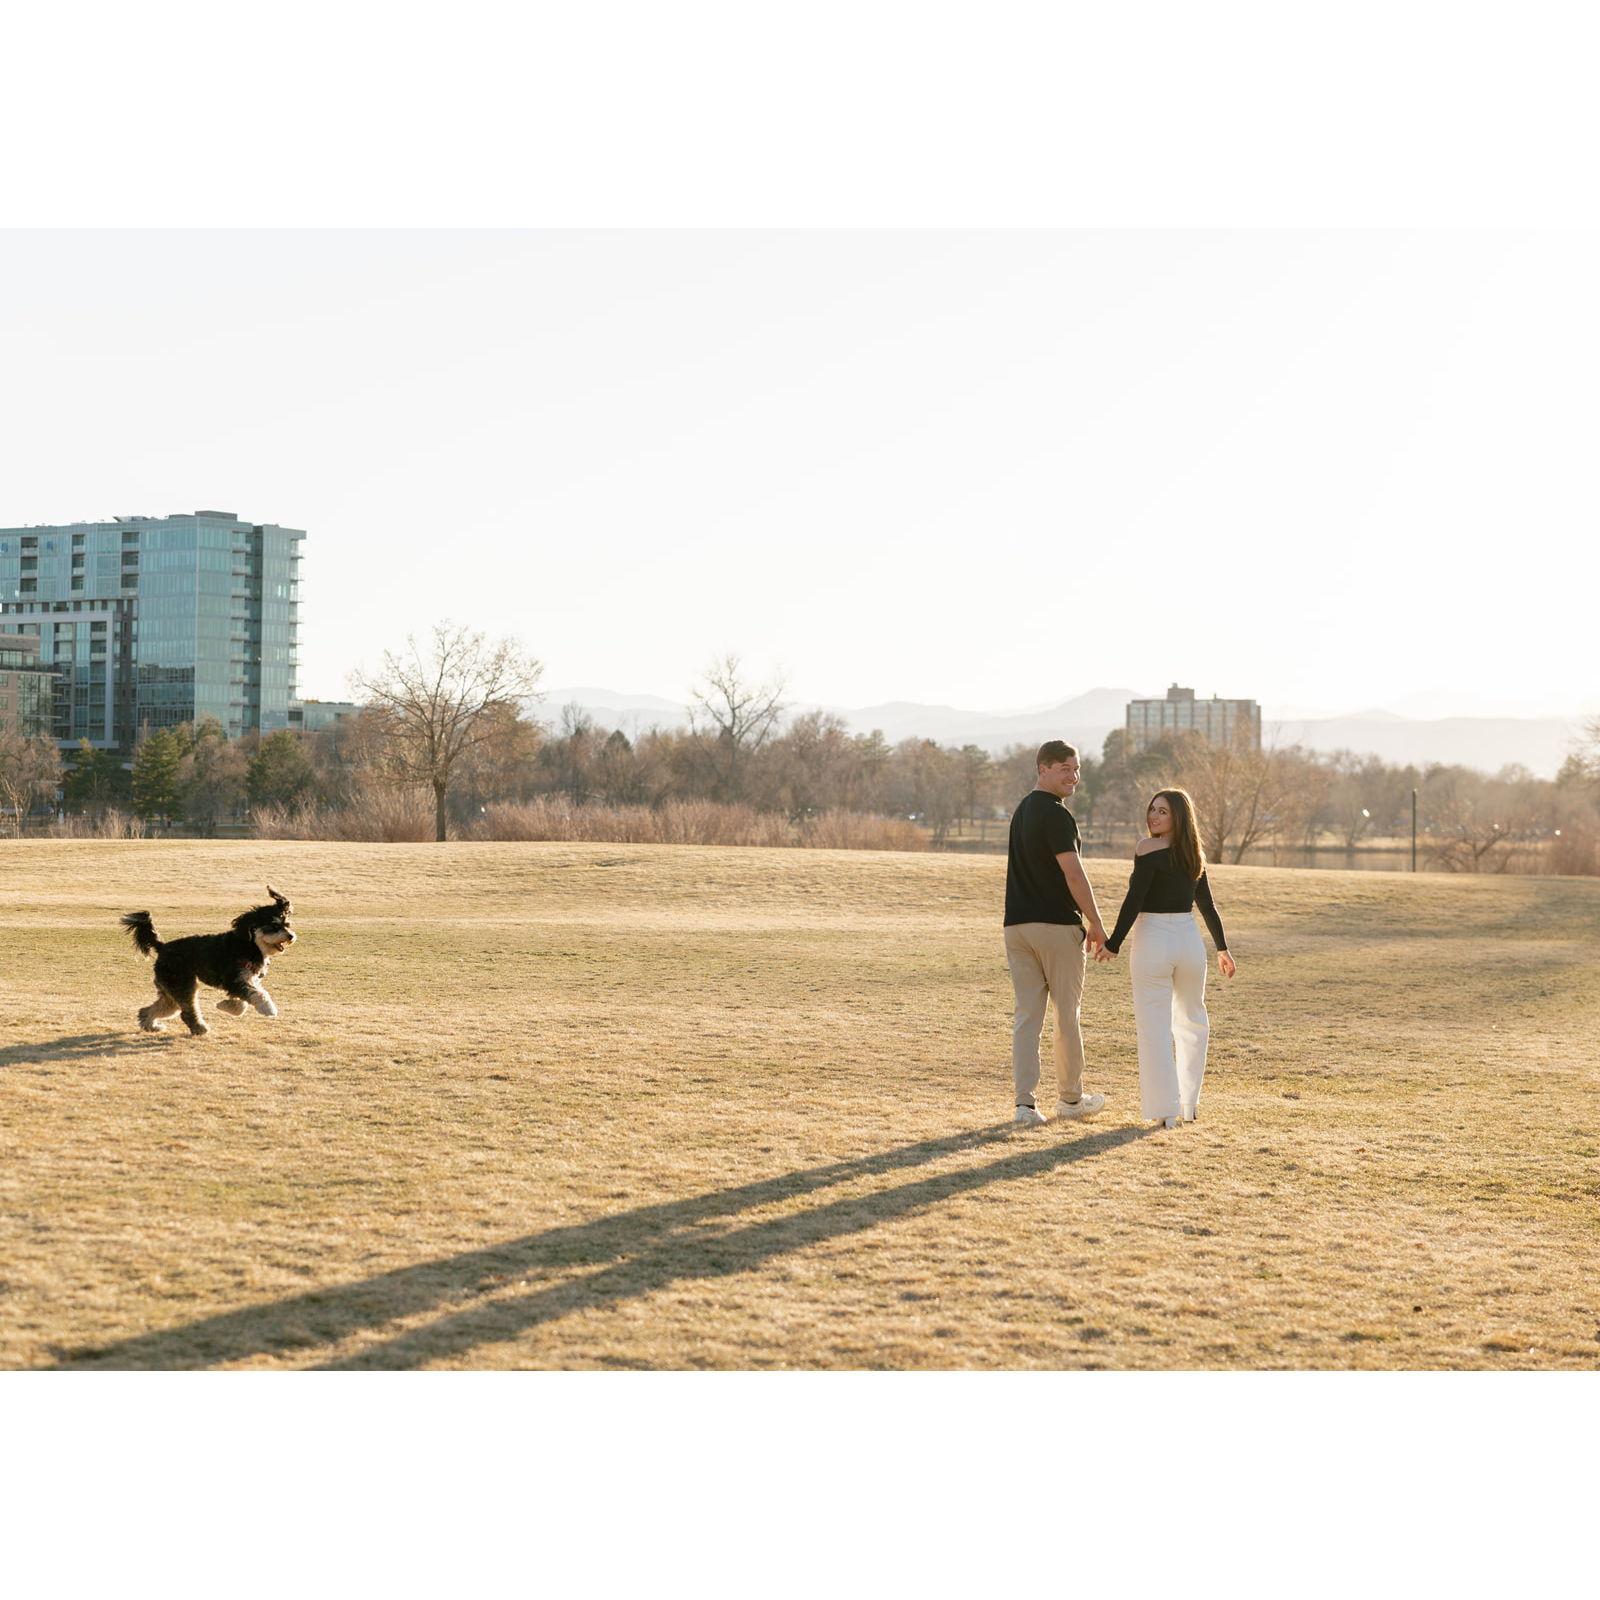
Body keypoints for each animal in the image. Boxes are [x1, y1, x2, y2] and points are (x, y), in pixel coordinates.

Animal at [121, 886, 297, 1036]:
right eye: (274, 926)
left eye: (287, 924)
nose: (291, 936)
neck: (250, 945)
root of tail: (162, 946)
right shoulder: (235, 979)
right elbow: (258, 994)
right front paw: (268, 1008)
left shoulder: (247, 980)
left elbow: (244, 1002)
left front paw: (226, 1005)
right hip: (182, 983)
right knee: (186, 1011)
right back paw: (199, 1028)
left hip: (170, 988)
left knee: (161, 1007)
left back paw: (151, 1025)